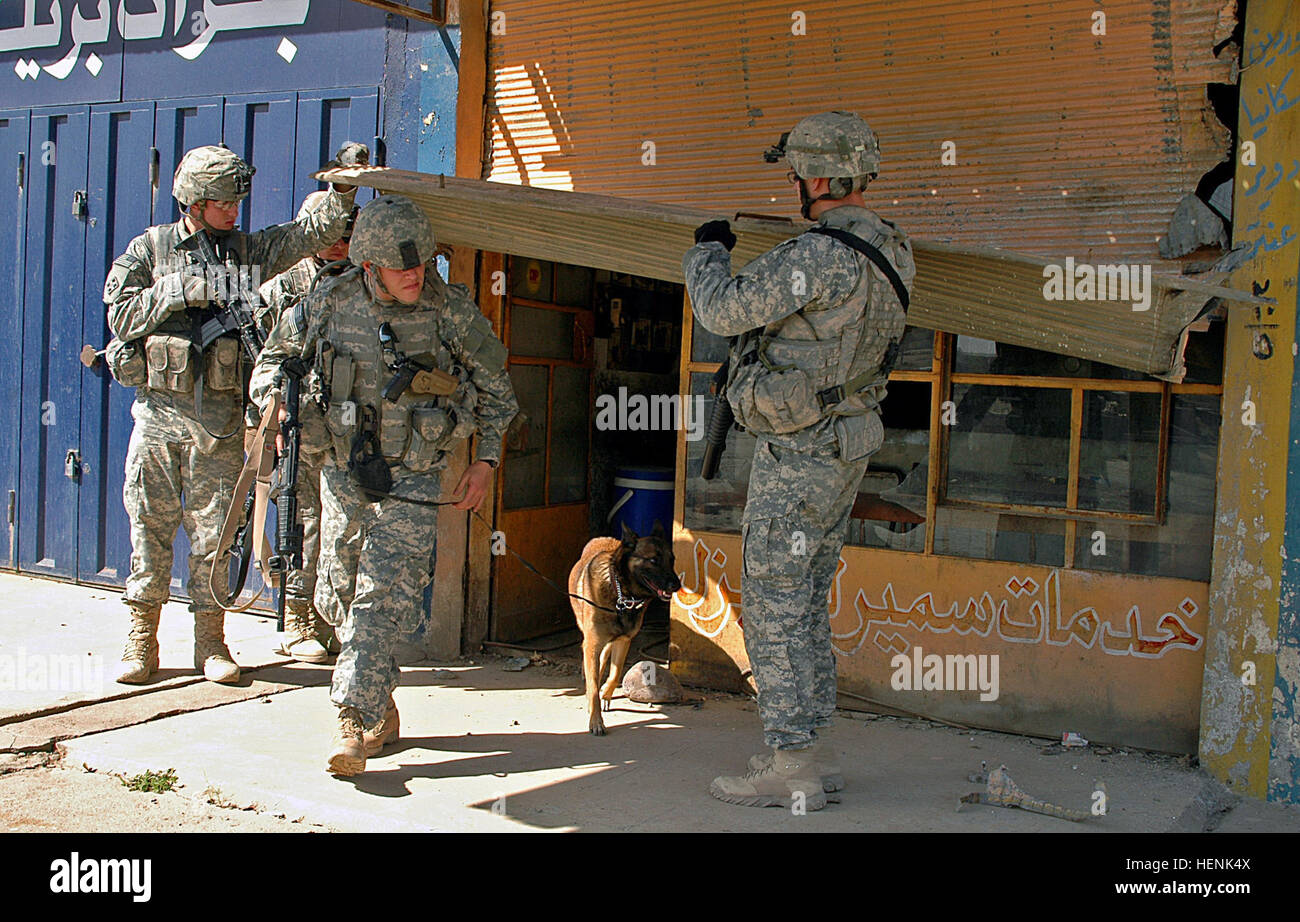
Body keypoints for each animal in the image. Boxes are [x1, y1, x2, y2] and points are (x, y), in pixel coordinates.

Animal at [574, 525, 686, 733]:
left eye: (672, 559)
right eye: (653, 560)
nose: (676, 585)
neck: (621, 594)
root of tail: (602, 537)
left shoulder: (623, 641)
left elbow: (615, 673)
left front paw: (605, 694)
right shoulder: (592, 644)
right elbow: (593, 686)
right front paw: (596, 720)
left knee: (604, 658)